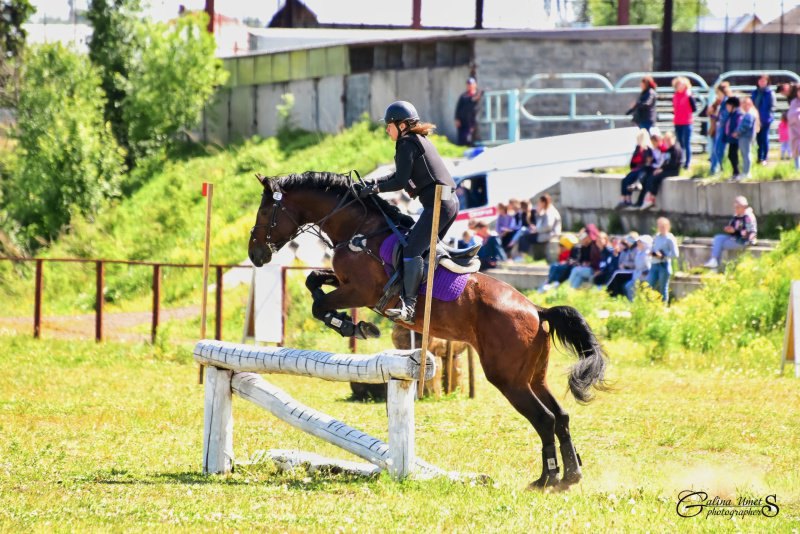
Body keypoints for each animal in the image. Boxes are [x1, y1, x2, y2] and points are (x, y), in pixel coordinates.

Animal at [247, 172, 608, 490]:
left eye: (264, 211)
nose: (255, 254)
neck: (359, 230)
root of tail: (536, 310)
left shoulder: (361, 291)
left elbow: (319, 305)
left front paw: (354, 326)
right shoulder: (346, 284)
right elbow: (313, 281)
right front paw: (353, 323)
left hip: (509, 379)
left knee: (545, 419)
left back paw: (547, 479)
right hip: (533, 376)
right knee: (561, 416)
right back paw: (571, 475)